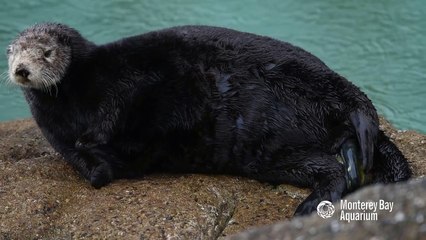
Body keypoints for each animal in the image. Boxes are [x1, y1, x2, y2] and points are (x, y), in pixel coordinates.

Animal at [5, 23, 410, 216]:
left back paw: (309, 206)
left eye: (45, 52)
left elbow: (107, 143)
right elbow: (89, 164)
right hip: (275, 153)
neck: (78, 91)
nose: (21, 70)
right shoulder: (57, 136)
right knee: (331, 164)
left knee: (339, 157)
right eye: (13, 53)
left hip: (291, 112)